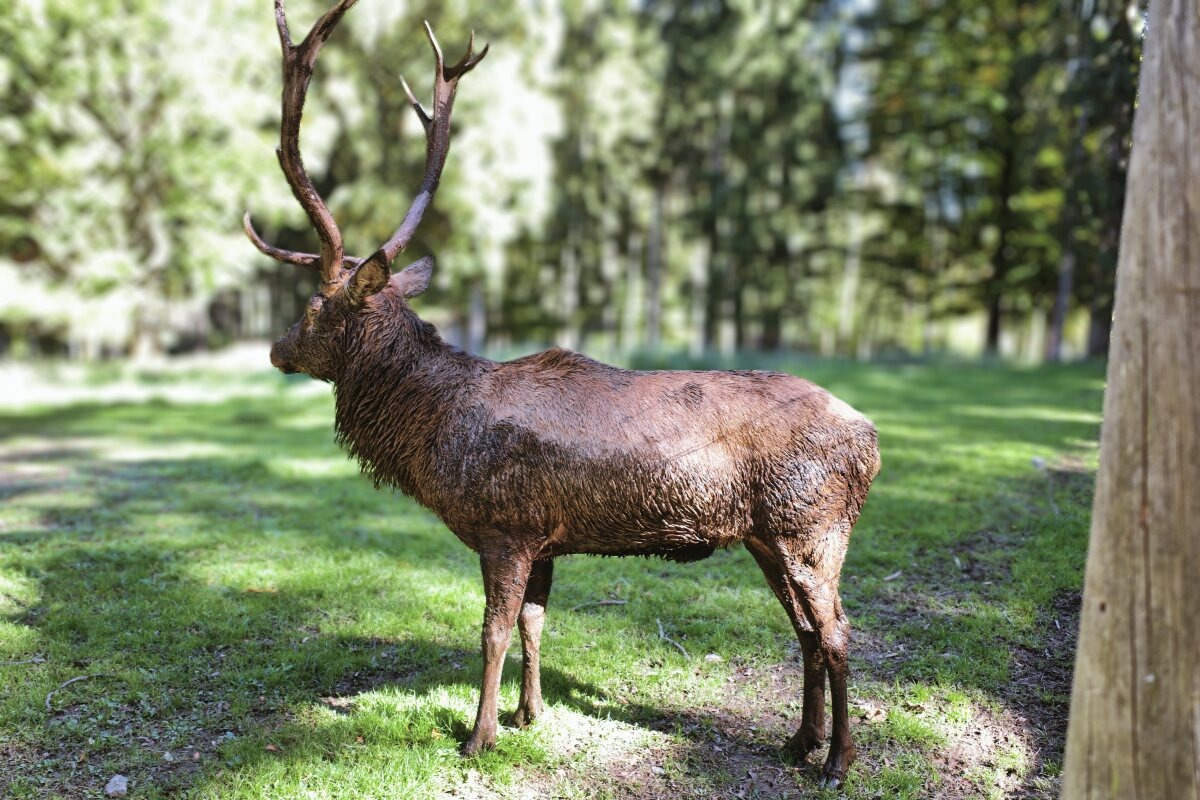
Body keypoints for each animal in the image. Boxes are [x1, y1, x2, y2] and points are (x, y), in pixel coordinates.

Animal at [243, 0, 880, 789]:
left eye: (312, 306)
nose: (275, 348)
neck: (430, 433)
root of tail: (872, 439)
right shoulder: (544, 533)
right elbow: (535, 621)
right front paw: (530, 714)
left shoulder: (504, 524)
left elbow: (491, 630)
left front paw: (479, 736)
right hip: (767, 535)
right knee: (805, 632)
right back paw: (799, 742)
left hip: (813, 526)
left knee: (838, 630)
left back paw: (838, 761)